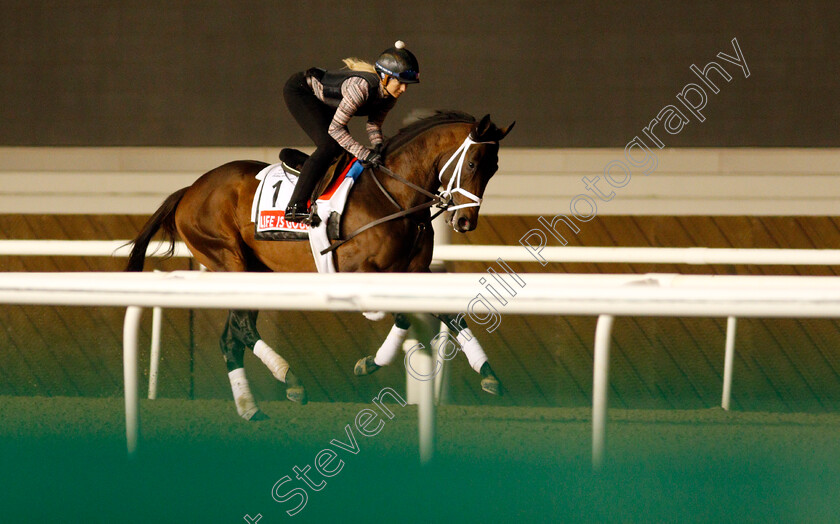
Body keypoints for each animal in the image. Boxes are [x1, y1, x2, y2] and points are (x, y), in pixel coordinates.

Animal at [126, 111, 512, 422]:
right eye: (473, 164)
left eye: (494, 169)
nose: (465, 222)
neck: (394, 195)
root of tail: (189, 190)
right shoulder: (361, 273)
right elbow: (402, 313)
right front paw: (372, 362)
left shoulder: (414, 272)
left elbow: (447, 315)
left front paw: (488, 373)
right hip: (228, 259)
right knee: (242, 330)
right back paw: (289, 379)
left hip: (255, 271)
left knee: (230, 339)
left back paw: (250, 407)